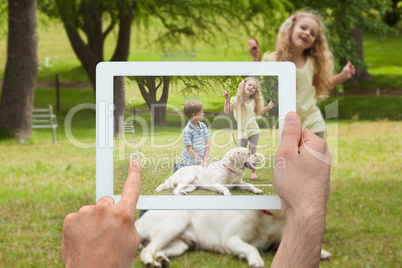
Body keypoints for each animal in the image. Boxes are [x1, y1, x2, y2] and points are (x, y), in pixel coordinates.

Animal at [137, 210, 332, 266]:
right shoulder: (231, 239)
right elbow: (250, 247)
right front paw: (255, 260)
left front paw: (321, 252)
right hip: (175, 223)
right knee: (146, 250)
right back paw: (150, 263)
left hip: (180, 245)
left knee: (157, 250)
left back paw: (161, 259)